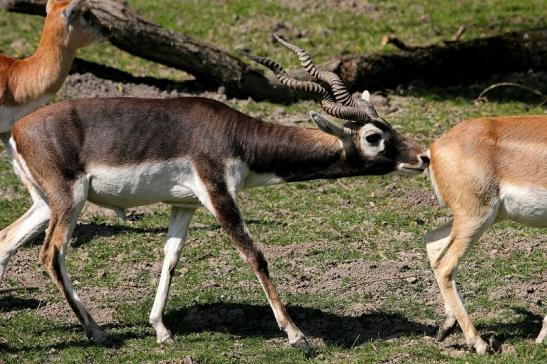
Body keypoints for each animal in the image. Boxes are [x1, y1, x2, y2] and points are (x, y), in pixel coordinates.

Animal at [5, 37, 432, 346]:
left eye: (390, 127)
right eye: (374, 137)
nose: (422, 157)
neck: (238, 137)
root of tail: (18, 131)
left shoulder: (185, 205)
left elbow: (170, 259)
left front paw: (162, 330)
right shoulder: (220, 195)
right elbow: (255, 255)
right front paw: (297, 335)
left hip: (45, 204)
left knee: (7, 241)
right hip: (70, 201)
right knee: (51, 253)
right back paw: (97, 332)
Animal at [428, 116, 547, 352]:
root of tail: (435, 146)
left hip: (481, 217)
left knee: (432, 242)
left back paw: (446, 328)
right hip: (476, 218)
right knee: (445, 264)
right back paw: (479, 344)